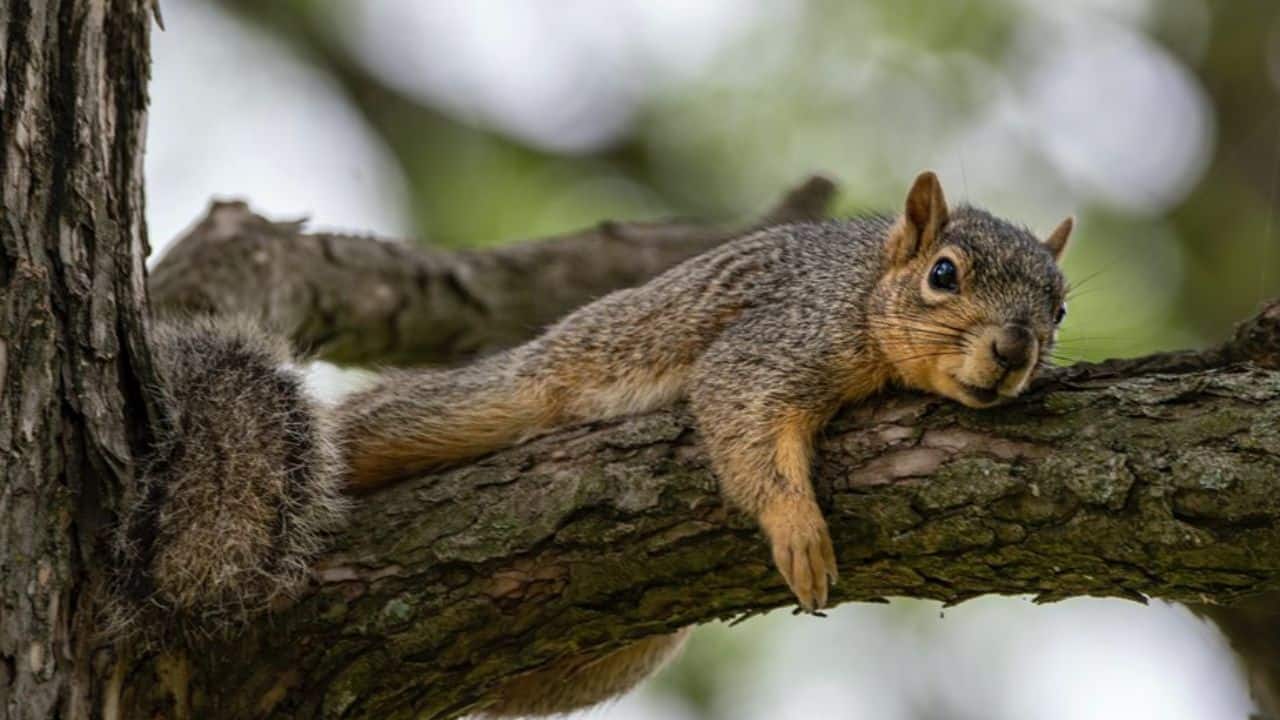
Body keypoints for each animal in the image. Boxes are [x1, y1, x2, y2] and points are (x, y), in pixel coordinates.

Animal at [112, 172, 1071, 715]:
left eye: (1059, 309)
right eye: (943, 274)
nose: (1014, 352)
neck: (869, 288)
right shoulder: (782, 337)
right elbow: (741, 408)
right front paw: (797, 530)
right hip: (504, 395)